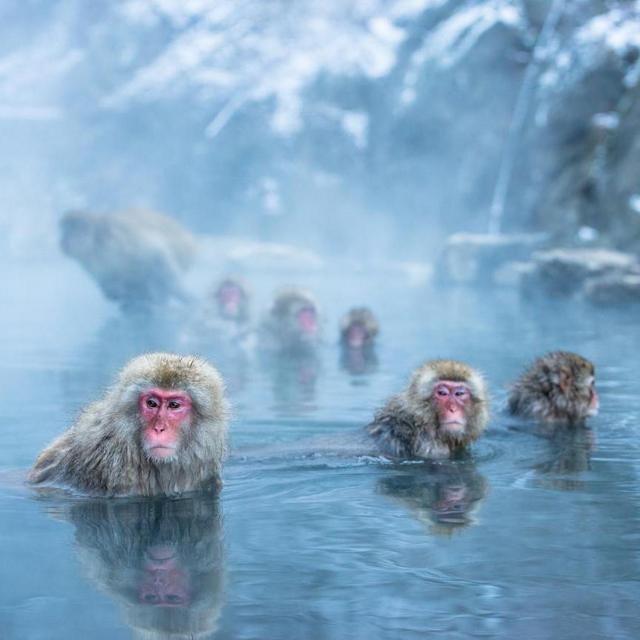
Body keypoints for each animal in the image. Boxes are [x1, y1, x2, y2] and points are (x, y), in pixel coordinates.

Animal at [60, 208, 198, 312]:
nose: (62, 242)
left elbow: (156, 254)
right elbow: (108, 283)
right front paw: (118, 293)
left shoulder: (121, 240)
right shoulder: (92, 263)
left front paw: (179, 293)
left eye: (72, 230)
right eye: (62, 231)